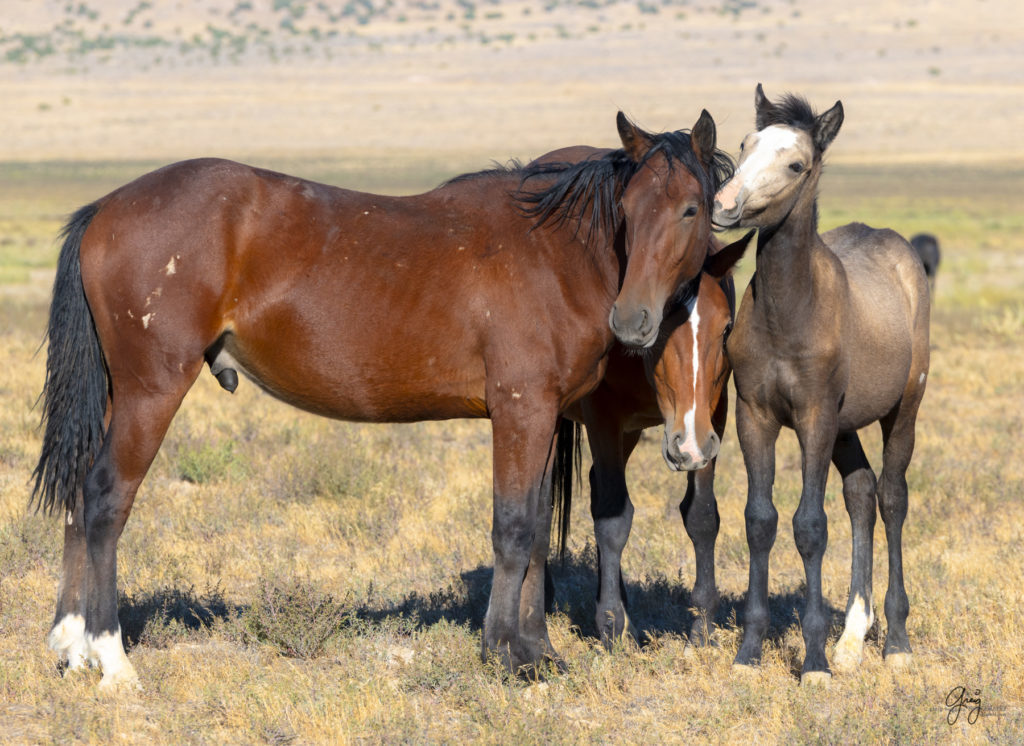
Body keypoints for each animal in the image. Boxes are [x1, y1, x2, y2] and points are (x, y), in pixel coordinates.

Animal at [34, 108, 737, 687]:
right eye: (630, 210)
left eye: (690, 208)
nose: (634, 321)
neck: (554, 254)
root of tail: (106, 209)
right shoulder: (521, 410)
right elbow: (513, 530)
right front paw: (502, 653)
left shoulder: (544, 418)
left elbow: (537, 530)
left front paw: (536, 651)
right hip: (152, 392)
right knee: (106, 500)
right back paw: (112, 660)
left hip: (117, 396)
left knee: (79, 495)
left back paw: (72, 646)